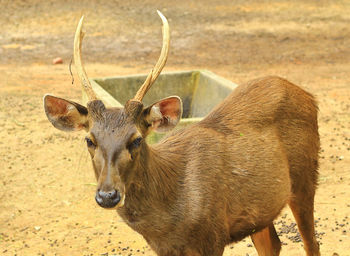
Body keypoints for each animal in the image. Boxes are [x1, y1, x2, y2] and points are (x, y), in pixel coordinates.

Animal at [43, 10, 320, 256]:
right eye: (90, 139)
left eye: (137, 139)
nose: (108, 195)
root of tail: (308, 95)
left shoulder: (213, 235)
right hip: (260, 209)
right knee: (273, 245)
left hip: (305, 177)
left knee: (311, 244)